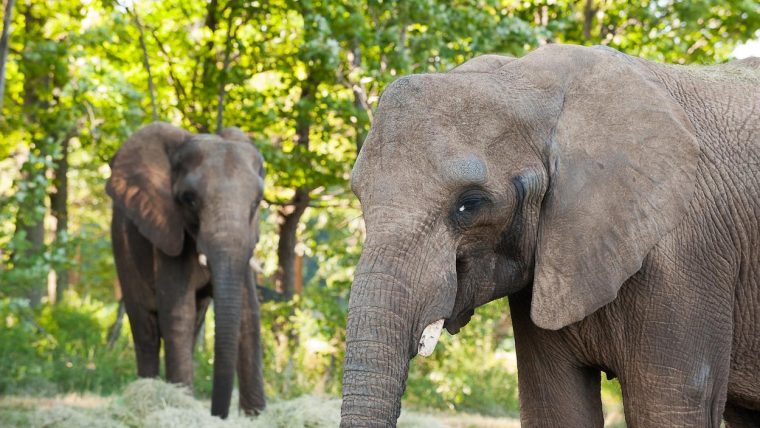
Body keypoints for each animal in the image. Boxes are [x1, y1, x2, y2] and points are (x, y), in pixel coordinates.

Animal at [107, 121, 268, 418]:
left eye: (256, 203)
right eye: (189, 200)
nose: (218, 414)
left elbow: (248, 314)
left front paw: (257, 415)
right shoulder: (167, 227)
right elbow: (177, 313)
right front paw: (182, 405)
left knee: (194, 321)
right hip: (121, 249)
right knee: (145, 328)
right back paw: (146, 393)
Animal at [342, 44, 760, 428]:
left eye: (470, 205)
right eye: (359, 195)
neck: (524, 82)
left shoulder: (688, 259)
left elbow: (669, 408)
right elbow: (556, 409)